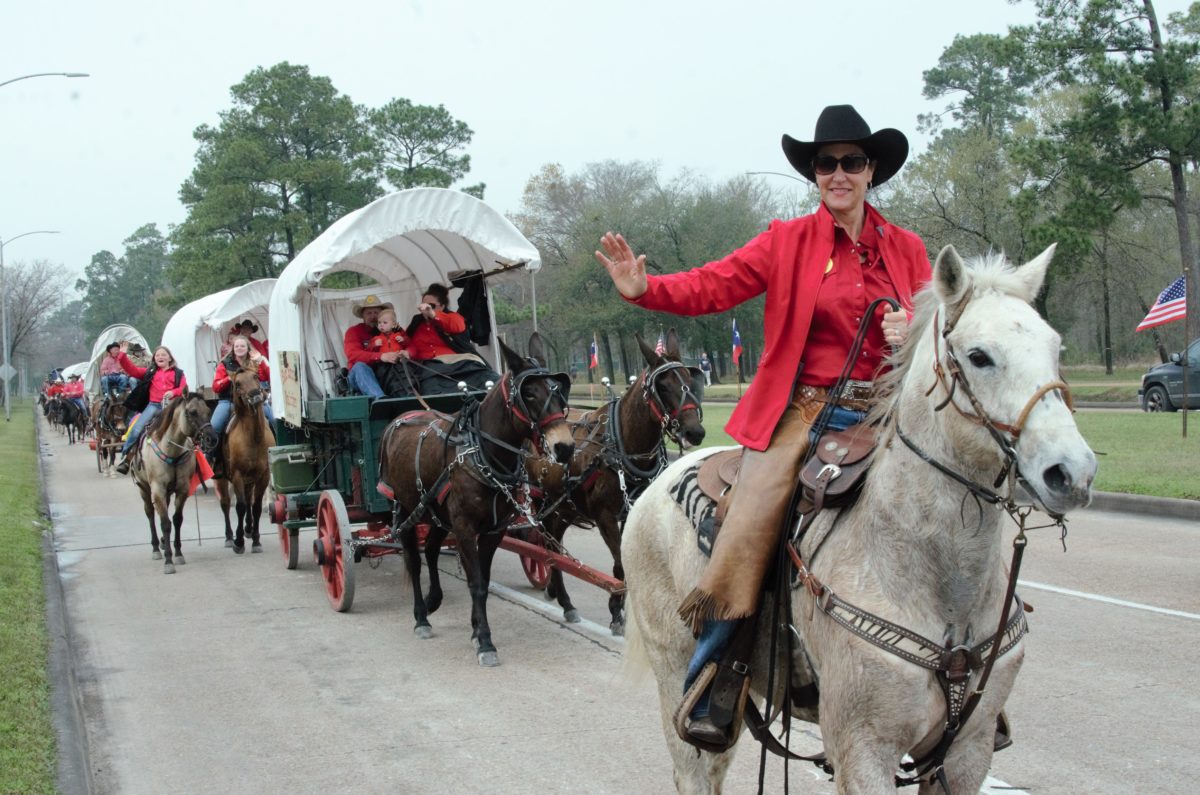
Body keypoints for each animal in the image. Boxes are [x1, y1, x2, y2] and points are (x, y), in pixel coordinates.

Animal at [131, 393, 216, 574]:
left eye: (208, 410)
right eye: (192, 412)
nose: (212, 438)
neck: (172, 451)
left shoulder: (182, 489)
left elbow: (177, 520)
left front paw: (177, 553)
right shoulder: (157, 490)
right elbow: (165, 523)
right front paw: (169, 561)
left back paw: (164, 543)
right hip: (144, 489)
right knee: (150, 514)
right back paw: (156, 548)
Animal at [216, 372, 274, 554]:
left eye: (256, 376)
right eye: (237, 384)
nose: (256, 396)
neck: (254, 438)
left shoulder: (263, 475)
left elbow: (255, 507)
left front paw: (255, 540)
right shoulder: (237, 476)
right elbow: (240, 507)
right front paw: (239, 541)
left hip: (250, 479)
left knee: (248, 500)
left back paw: (248, 529)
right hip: (222, 479)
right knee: (226, 503)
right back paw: (229, 537)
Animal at [379, 333, 576, 667]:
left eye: (559, 390)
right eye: (529, 394)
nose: (564, 447)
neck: (483, 453)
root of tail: (398, 420)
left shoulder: (492, 530)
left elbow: (481, 578)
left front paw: (475, 629)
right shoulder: (465, 528)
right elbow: (477, 584)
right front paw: (485, 641)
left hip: (437, 514)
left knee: (431, 550)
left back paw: (433, 599)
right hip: (407, 508)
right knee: (415, 560)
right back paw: (421, 617)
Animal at [532, 329, 700, 634]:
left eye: (688, 378)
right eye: (663, 386)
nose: (696, 431)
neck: (622, 445)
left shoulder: (629, 511)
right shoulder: (605, 516)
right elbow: (621, 565)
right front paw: (616, 612)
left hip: (563, 507)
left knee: (552, 542)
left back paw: (558, 593)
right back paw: (562, 597)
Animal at [624, 246, 1099, 792]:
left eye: (1055, 347)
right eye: (979, 356)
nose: (1073, 471)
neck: (938, 583)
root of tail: (657, 486)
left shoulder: (967, 753)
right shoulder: (864, 750)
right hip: (674, 670)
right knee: (693, 768)